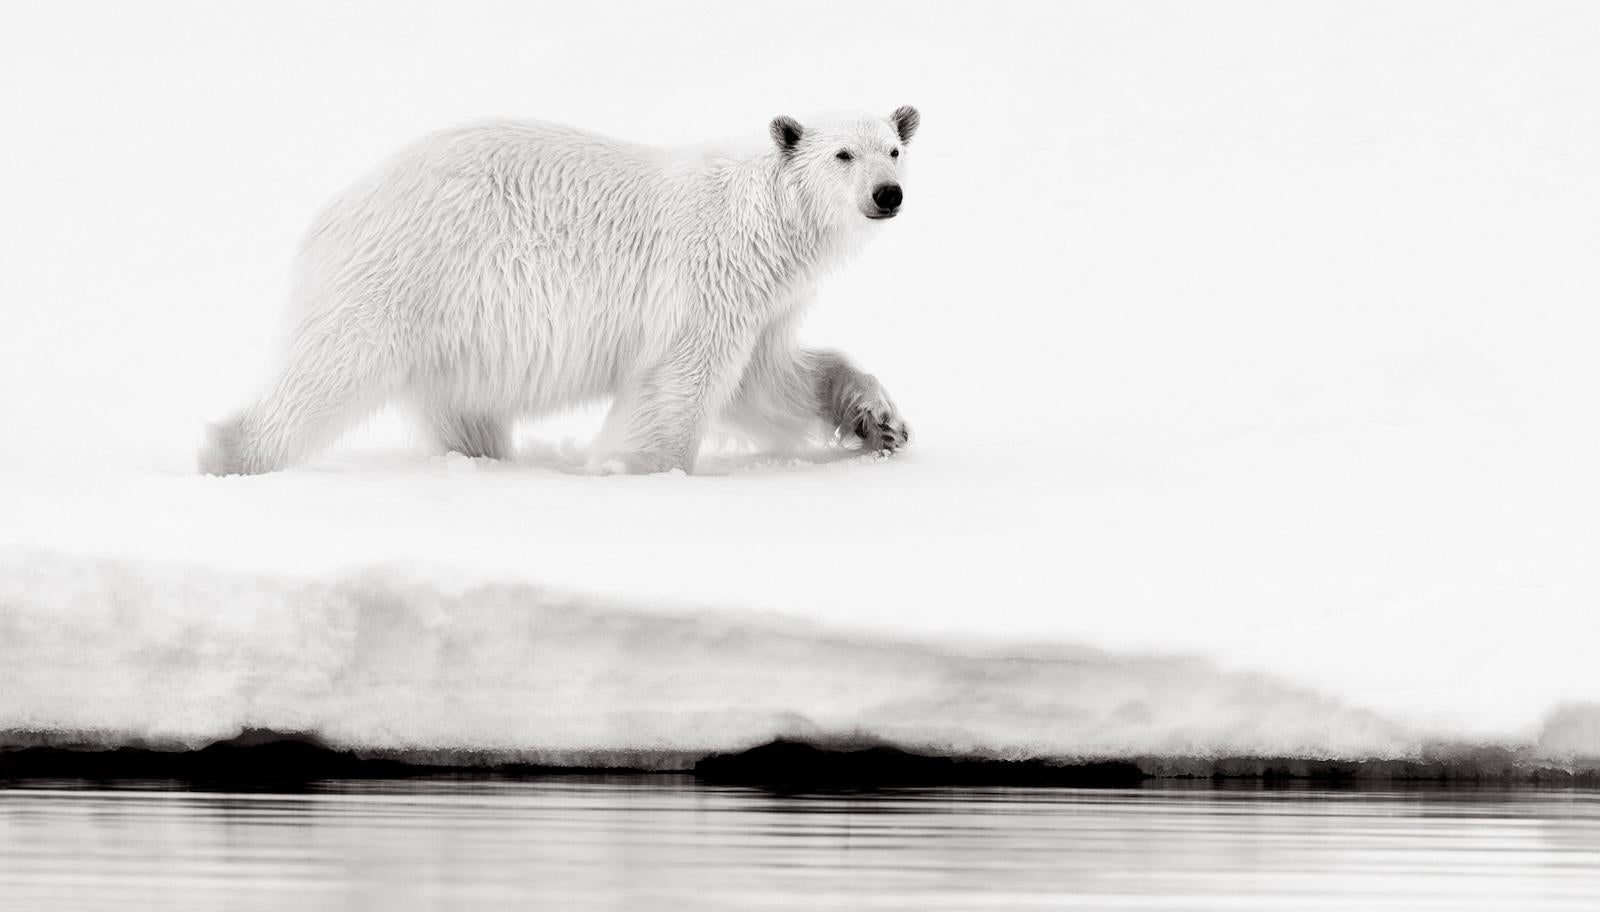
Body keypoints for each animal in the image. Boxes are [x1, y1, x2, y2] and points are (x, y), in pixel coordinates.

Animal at [201, 105, 928, 473]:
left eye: (893, 149)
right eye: (842, 155)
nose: (887, 195)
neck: (761, 220)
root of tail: (333, 209)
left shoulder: (762, 303)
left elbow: (769, 380)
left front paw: (880, 422)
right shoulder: (706, 275)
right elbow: (681, 378)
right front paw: (635, 467)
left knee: (461, 409)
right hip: (402, 281)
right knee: (326, 374)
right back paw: (229, 454)